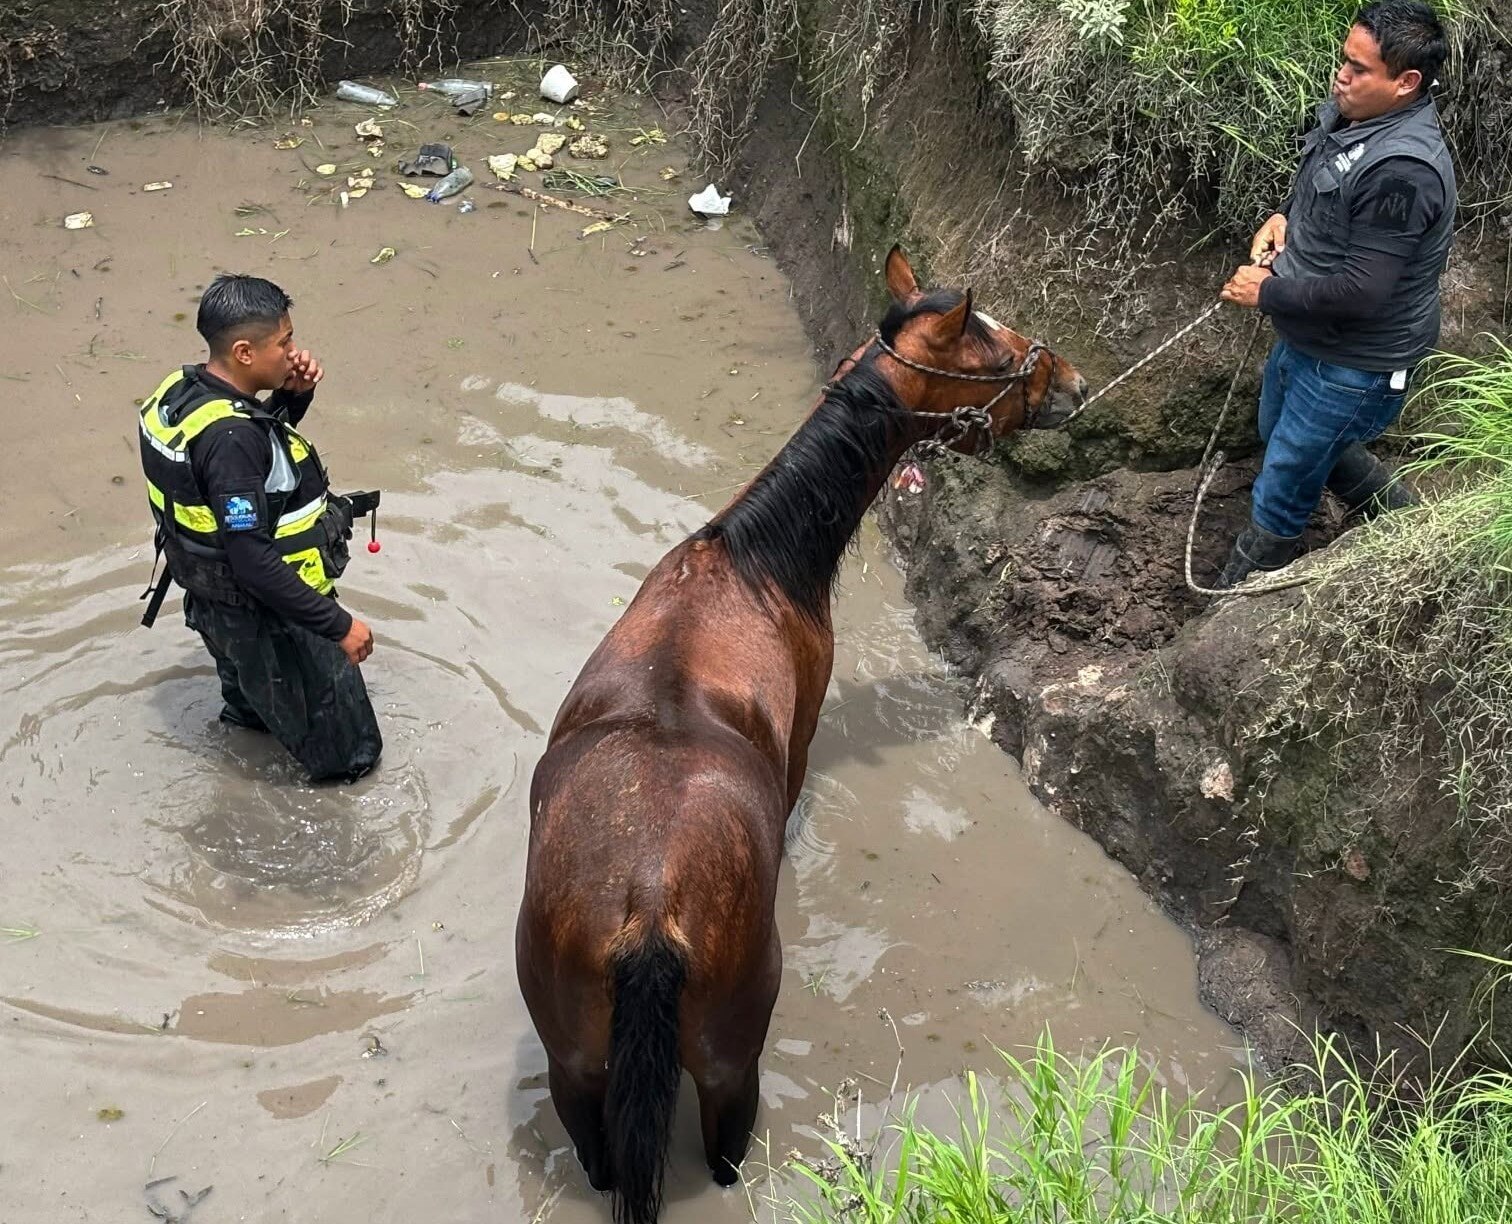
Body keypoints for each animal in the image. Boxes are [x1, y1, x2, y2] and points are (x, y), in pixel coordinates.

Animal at [516, 246, 1087, 1224]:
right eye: (998, 350)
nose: (1074, 383)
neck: (754, 561)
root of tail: (647, 909)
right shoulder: (809, 719)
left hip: (575, 1071)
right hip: (730, 1068)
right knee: (723, 1157)